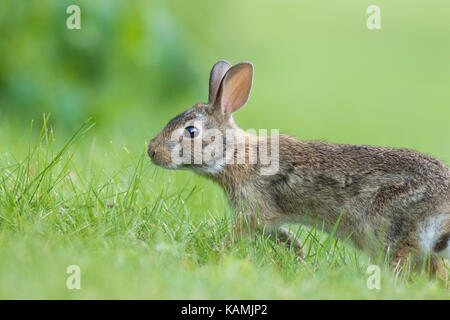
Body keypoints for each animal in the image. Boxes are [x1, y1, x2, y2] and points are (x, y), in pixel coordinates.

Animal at [149, 60, 450, 280]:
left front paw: (216, 252)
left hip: (391, 230)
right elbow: (283, 236)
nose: (152, 151)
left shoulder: (252, 212)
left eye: (191, 131)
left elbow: (236, 235)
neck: (235, 155)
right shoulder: (268, 219)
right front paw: (300, 256)